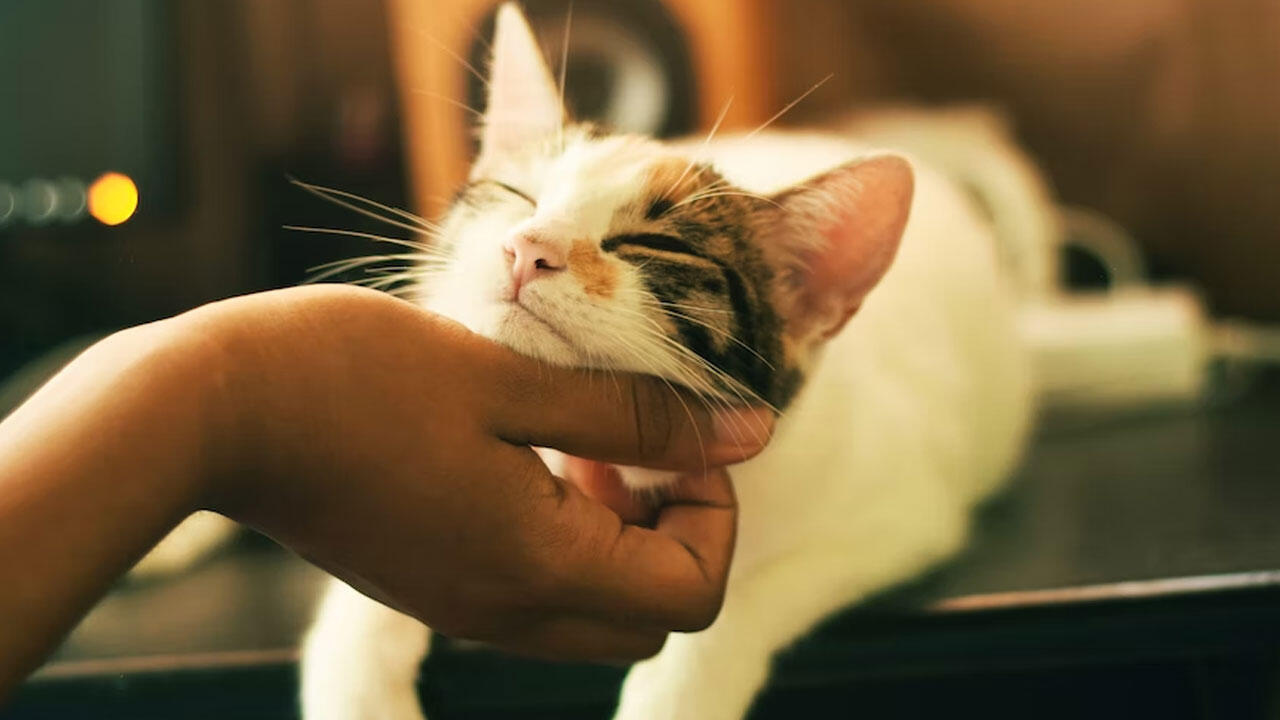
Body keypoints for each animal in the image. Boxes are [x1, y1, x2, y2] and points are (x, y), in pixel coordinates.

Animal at [296, 5, 1029, 717]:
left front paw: (678, 692)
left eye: (653, 244)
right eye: (515, 195)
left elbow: (739, 603)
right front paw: (355, 686)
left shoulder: (900, 516)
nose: (527, 246)